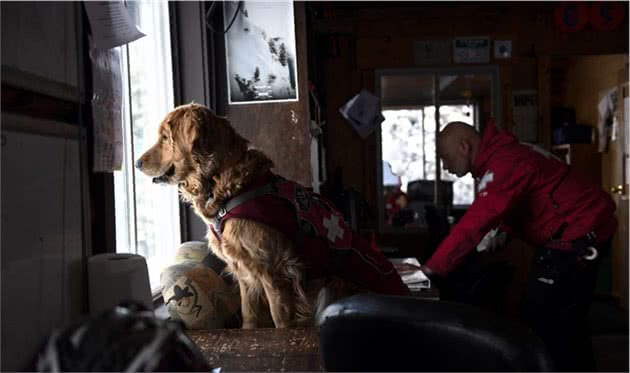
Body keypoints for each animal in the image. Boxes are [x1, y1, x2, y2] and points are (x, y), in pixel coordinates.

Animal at [135, 103, 408, 326]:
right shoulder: (244, 273)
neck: (224, 183)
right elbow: (250, 317)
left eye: (165, 137)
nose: (137, 163)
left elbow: (280, 319)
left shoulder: (274, 269)